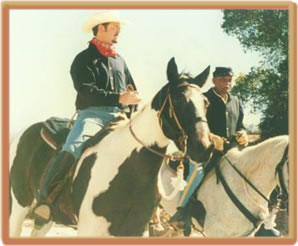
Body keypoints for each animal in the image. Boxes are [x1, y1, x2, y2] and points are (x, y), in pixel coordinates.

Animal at [9, 57, 214, 236]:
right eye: (178, 99)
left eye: (205, 102)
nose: (204, 147)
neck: (129, 169)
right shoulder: (89, 229)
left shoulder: (135, 230)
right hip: (19, 206)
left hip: (47, 218)